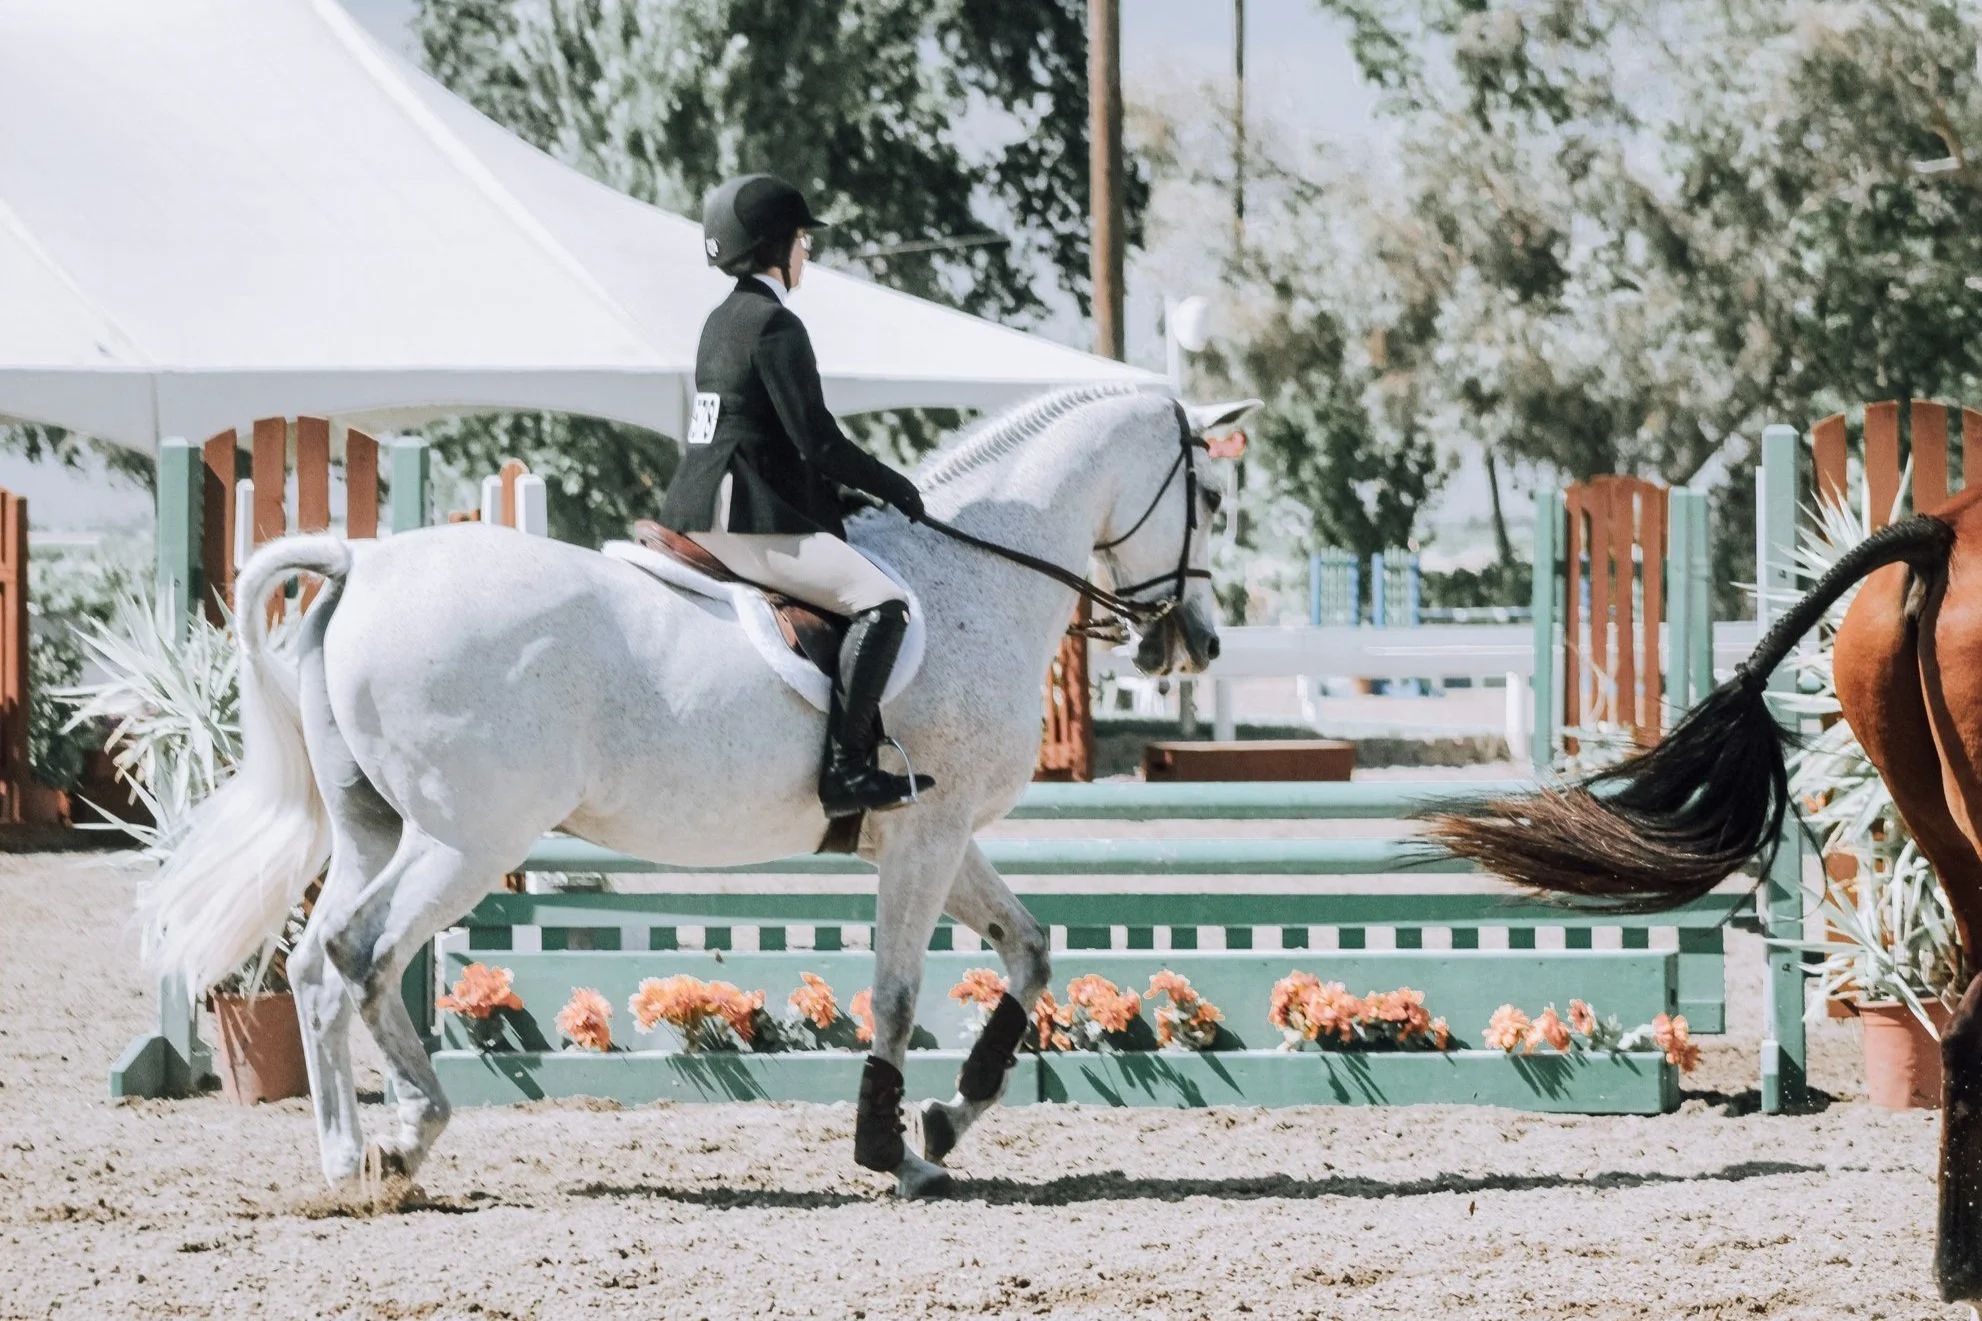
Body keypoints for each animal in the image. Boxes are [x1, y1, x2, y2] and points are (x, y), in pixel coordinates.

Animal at [140, 384, 1246, 1200]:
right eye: (1211, 500)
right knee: (362, 956)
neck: (974, 573)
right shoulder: (926, 833)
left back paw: (345, 1160)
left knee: (316, 965)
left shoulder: (932, 831)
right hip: (466, 839)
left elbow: (1029, 949)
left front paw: (944, 1116)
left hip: (376, 828)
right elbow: (897, 991)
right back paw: (410, 1136)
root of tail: (358, 562)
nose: (1194, 644)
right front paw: (892, 1148)